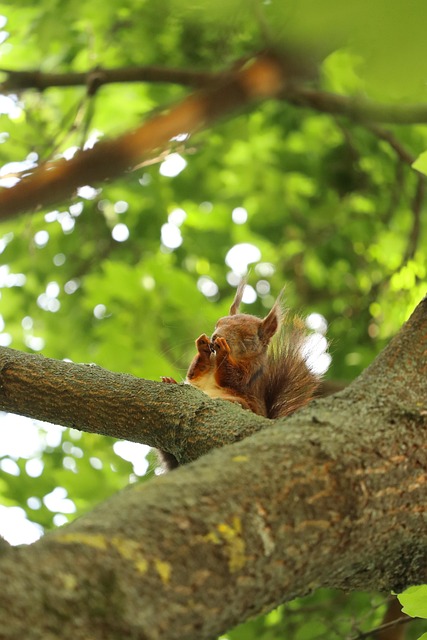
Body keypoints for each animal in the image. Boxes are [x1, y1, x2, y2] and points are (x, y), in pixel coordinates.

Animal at [159, 282, 321, 469]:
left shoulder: (250, 374)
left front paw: (223, 350)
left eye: (248, 336)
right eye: (218, 323)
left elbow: (233, 378)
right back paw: (169, 381)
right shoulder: (202, 372)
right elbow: (194, 373)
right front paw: (202, 346)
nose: (215, 337)